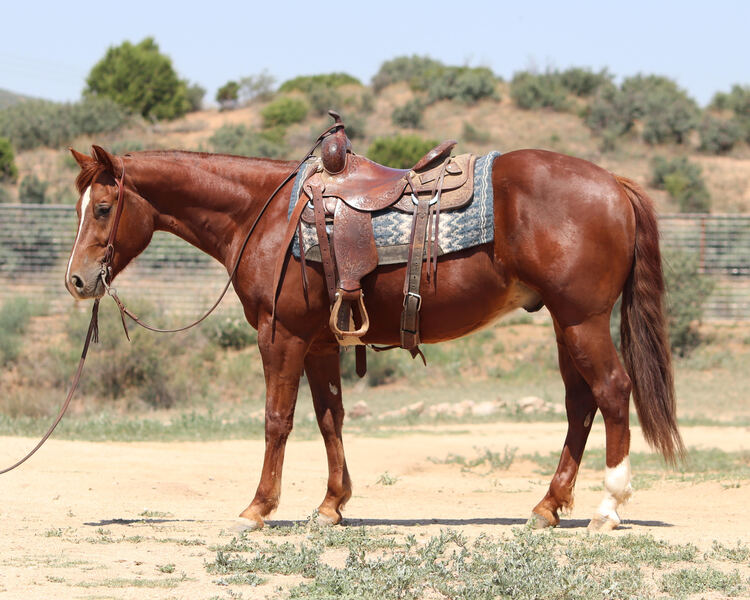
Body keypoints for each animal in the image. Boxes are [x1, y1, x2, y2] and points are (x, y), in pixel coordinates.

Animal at [64, 143, 688, 532]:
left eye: (103, 208)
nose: (77, 280)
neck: (264, 216)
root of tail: (614, 184)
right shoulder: (319, 343)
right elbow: (329, 418)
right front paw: (331, 505)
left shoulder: (280, 336)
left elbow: (277, 420)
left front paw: (259, 508)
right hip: (564, 324)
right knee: (580, 404)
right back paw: (548, 506)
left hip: (583, 320)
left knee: (612, 392)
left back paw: (608, 507)